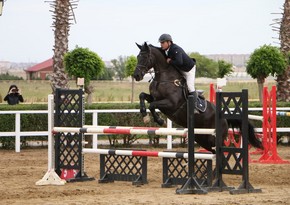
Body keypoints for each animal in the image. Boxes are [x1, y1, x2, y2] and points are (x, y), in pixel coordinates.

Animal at [134, 42, 262, 154]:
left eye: (145, 57)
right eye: (137, 57)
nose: (136, 75)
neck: (164, 78)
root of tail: (224, 118)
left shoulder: (171, 103)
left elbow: (152, 105)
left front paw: (159, 120)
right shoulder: (154, 97)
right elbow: (142, 96)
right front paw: (145, 116)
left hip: (213, 138)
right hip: (201, 138)